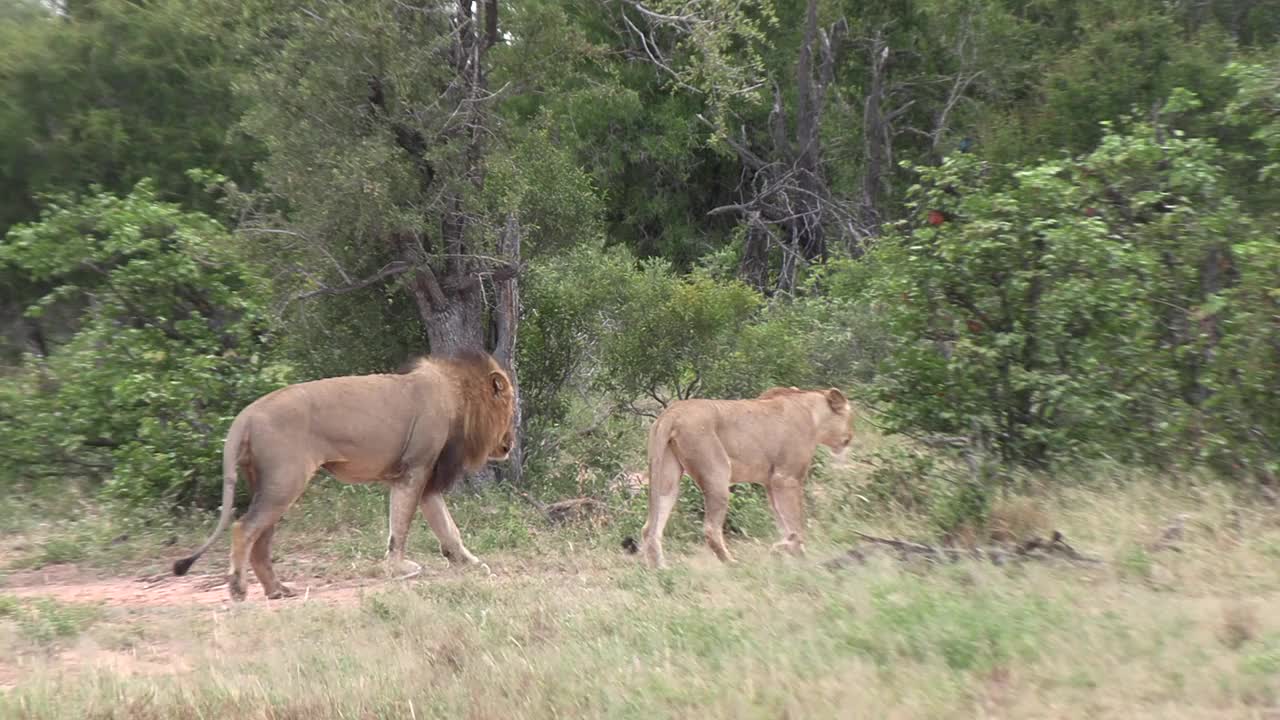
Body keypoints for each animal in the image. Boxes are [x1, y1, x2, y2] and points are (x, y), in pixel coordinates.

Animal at [170, 348, 514, 599]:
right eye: (511, 408)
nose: (510, 442)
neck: (458, 397)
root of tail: (247, 414)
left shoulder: (427, 477)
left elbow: (447, 528)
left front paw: (470, 563)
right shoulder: (414, 470)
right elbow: (400, 525)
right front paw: (399, 568)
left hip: (271, 486)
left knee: (260, 539)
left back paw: (278, 590)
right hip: (285, 482)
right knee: (244, 528)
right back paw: (239, 589)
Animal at [629, 386, 849, 566]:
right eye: (850, 416)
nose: (851, 436)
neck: (811, 412)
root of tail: (672, 412)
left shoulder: (771, 483)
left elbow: (784, 522)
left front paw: (792, 553)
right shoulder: (786, 478)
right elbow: (795, 522)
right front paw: (788, 550)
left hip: (666, 476)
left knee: (650, 527)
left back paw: (660, 569)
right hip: (716, 472)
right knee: (710, 529)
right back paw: (732, 563)